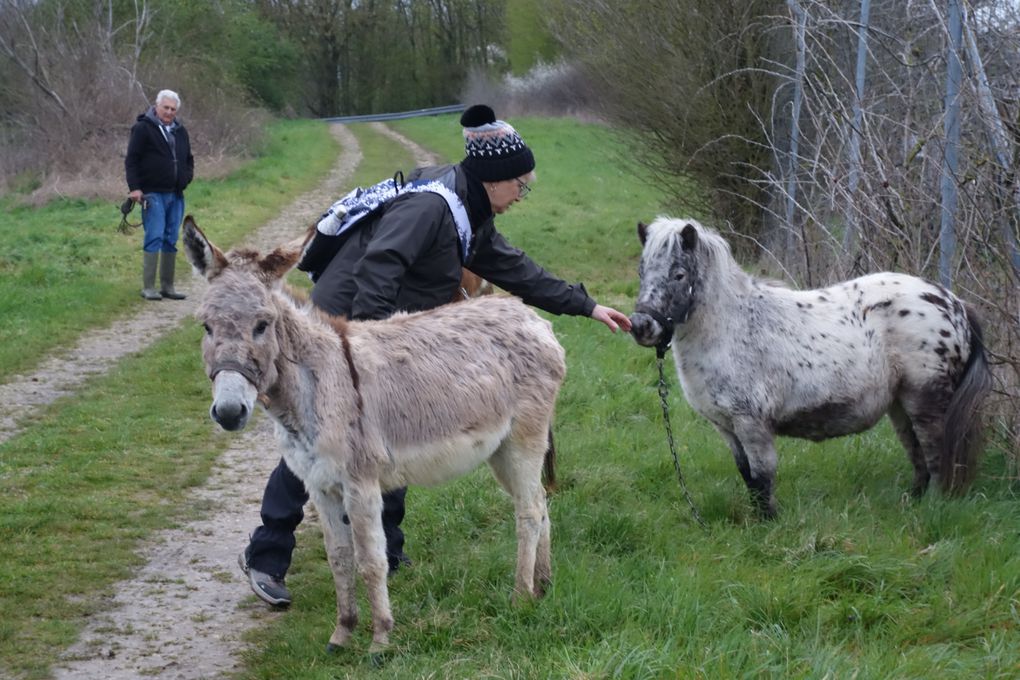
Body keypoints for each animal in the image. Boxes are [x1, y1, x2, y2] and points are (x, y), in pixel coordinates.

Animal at [183, 218, 567, 652]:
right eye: (207, 326)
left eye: (262, 325)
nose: (230, 412)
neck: (318, 384)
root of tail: (530, 315)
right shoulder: (320, 486)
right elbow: (339, 559)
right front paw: (342, 633)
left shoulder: (360, 484)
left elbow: (370, 561)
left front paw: (381, 639)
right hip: (500, 450)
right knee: (539, 502)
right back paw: (543, 584)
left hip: (524, 439)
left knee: (529, 510)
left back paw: (520, 597)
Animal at [624, 217, 991, 515]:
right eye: (641, 272)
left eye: (679, 274)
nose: (641, 326)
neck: (733, 328)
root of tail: (956, 303)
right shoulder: (726, 427)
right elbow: (747, 476)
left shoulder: (751, 424)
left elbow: (762, 477)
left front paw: (766, 523)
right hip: (900, 404)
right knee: (918, 456)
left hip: (925, 401)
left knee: (937, 456)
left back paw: (933, 508)